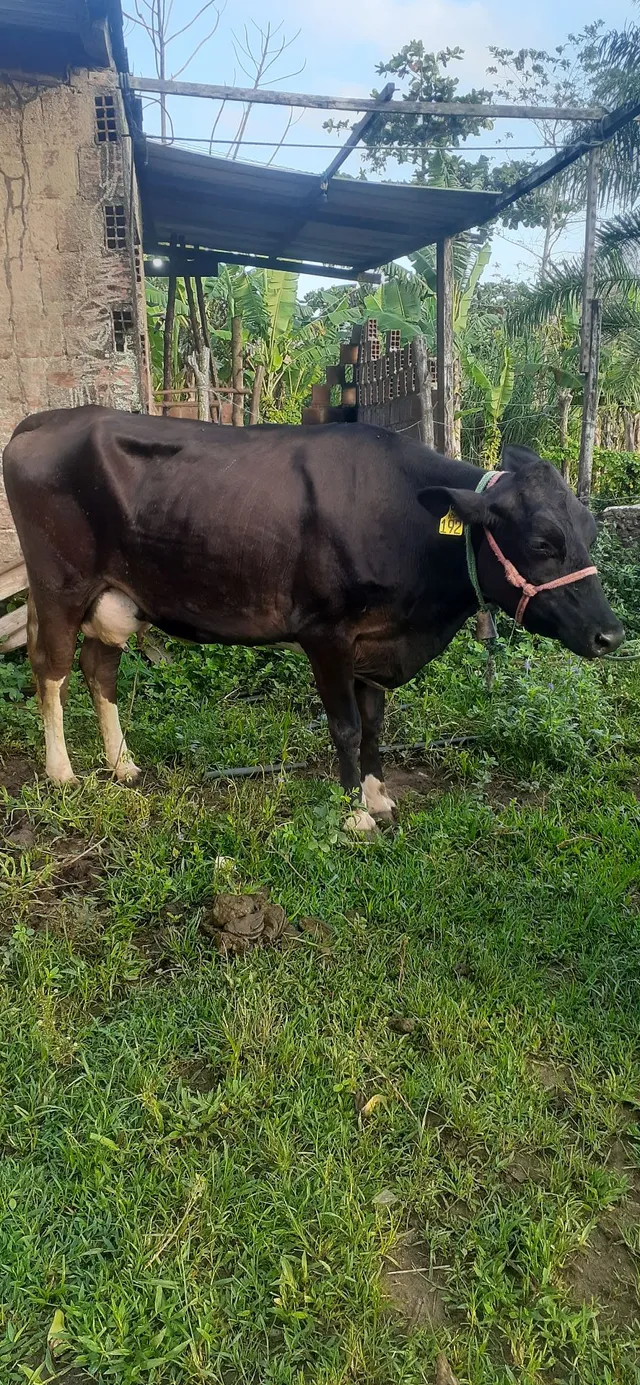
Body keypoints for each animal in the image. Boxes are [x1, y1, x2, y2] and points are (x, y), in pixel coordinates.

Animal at [3, 406, 624, 829]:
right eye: (543, 543)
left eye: (590, 530)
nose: (611, 635)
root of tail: (41, 421)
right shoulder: (326, 632)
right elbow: (345, 726)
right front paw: (354, 816)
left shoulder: (376, 640)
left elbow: (374, 724)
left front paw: (378, 797)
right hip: (59, 584)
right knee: (51, 668)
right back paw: (62, 772)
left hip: (117, 596)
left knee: (98, 667)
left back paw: (123, 765)